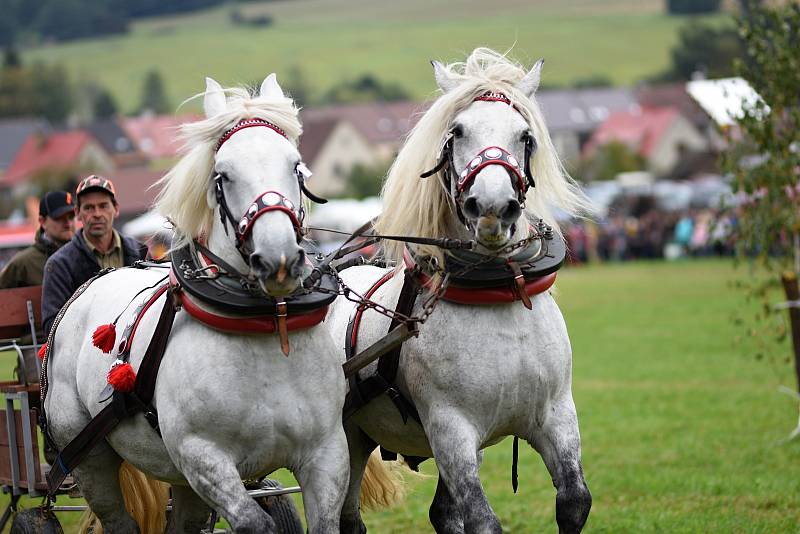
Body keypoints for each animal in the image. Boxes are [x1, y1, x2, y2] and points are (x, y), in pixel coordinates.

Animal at [324, 48, 592, 532]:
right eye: (458, 132)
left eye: (525, 136)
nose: (492, 208)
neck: (498, 295)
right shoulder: (451, 431)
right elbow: (483, 520)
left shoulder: (557, 415)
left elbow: (575, 500)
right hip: (346, 439)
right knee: (347, 516)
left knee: (441, 513)